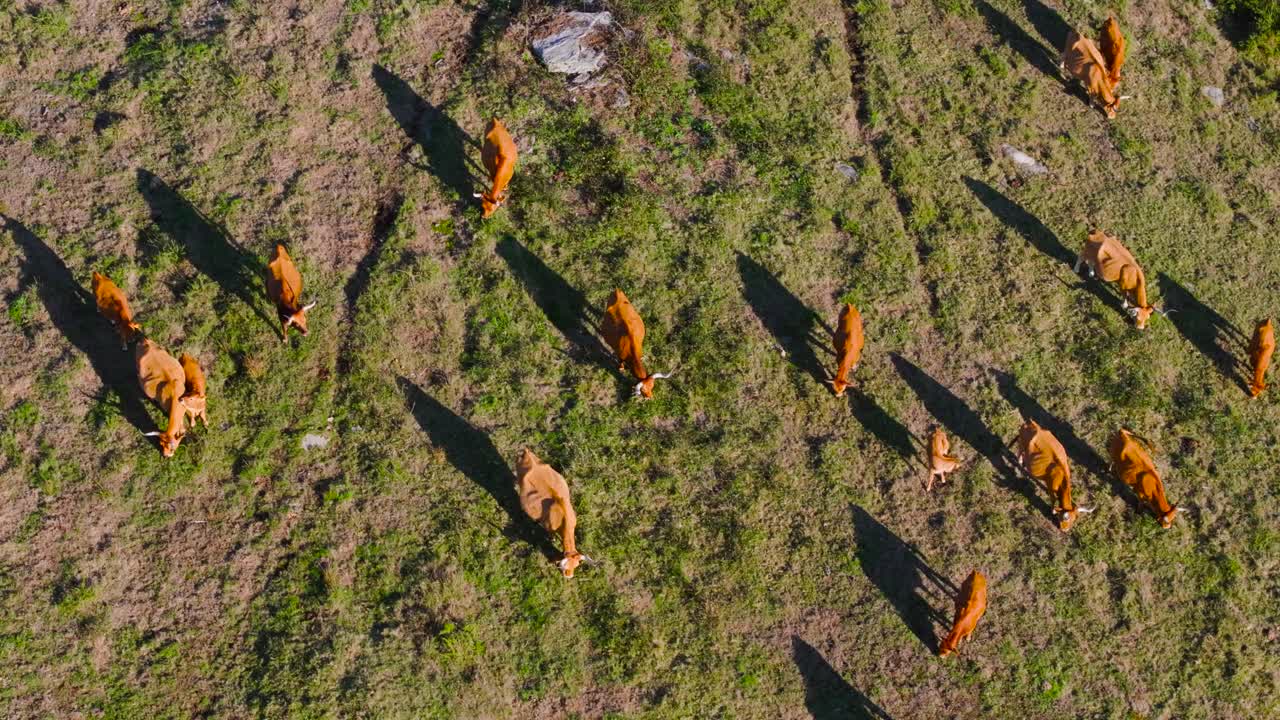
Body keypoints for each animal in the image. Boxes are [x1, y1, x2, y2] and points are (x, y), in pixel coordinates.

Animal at [516, 448, 593, 578]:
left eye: (575, 566)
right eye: (563, 568)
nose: (569, 577)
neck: (563, 518)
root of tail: (526, 451)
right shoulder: (548, 527)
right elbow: (551, 535)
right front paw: (552, 540)